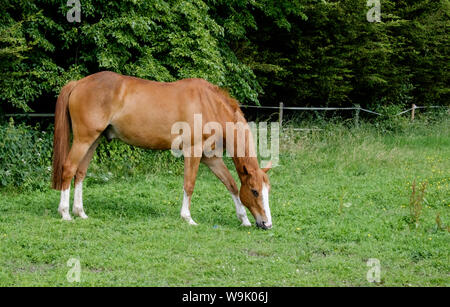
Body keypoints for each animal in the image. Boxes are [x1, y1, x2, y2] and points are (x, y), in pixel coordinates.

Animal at [51, 72, 272, 230]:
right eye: (254, 191)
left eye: (267, 191)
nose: (267, 224)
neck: (208, 104)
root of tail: (78, 83)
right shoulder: (193, 152)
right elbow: (189, 185)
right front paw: (187, 218)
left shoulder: (210, 158)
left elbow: (231, 184)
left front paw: (244, 219)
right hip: (83, 140)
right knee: (68, 169)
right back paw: (65, 213)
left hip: (93, 141)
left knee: (80, 173)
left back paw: (80, 212)